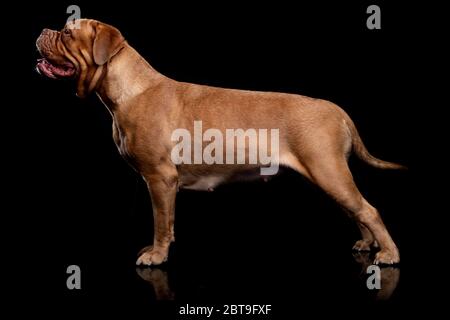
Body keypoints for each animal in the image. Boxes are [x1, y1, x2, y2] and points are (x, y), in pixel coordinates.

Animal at [36, 18, 404, 266]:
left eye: (67, 33)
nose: (42, 31)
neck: (129, 87)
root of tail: (338, 110)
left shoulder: (160, 178)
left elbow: (162, 223)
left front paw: (157, 255)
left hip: (328, 172)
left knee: (368, 210)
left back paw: (388, 252)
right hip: (328, 176)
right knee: (355, 210)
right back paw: (367, 243)